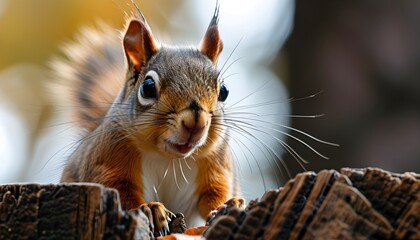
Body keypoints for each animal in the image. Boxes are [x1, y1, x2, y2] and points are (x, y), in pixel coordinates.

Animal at [57, 3, 241, 236]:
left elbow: (214, 194)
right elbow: (123, 193)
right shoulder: (106, 160)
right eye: (148, 87)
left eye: (224, 91)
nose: (196, 123)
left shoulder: (217, 164)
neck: (169, 159)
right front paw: (152, 209)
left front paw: (230, 204)